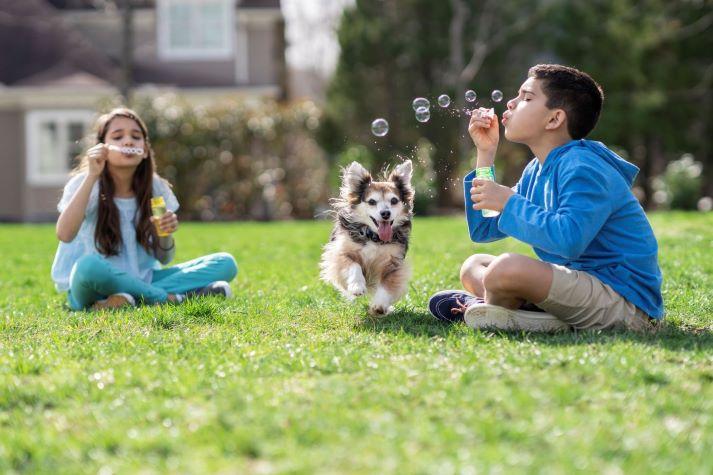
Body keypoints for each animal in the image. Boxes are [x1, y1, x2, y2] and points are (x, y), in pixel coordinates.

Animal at [320, 161, 414, 316]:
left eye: (394, 200)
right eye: (372, 202)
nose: (385, 213)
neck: (373, 237)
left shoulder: (394, 263)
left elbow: (387, 283)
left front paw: (380, 305)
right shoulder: (340, 253)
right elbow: (354, 265)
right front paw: (357, 286)